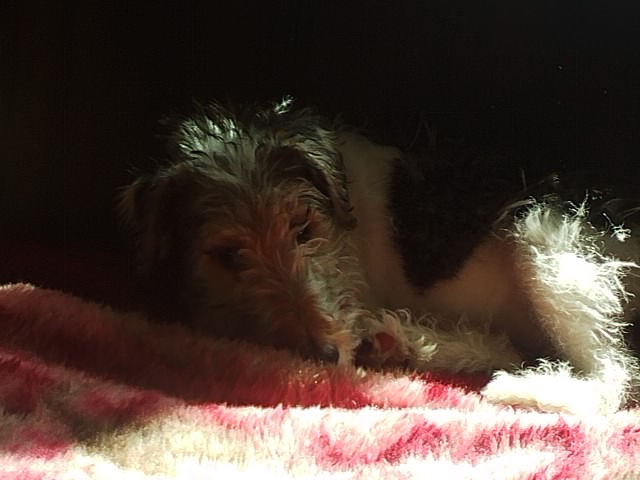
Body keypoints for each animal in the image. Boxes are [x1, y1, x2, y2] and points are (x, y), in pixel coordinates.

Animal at [119, 97, 640, 414]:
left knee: (613, 378)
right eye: (226, 254)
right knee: (512, 346)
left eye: (304, 228)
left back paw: (521, 387)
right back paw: (401, 340)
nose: (326, 354)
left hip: (549, 238)